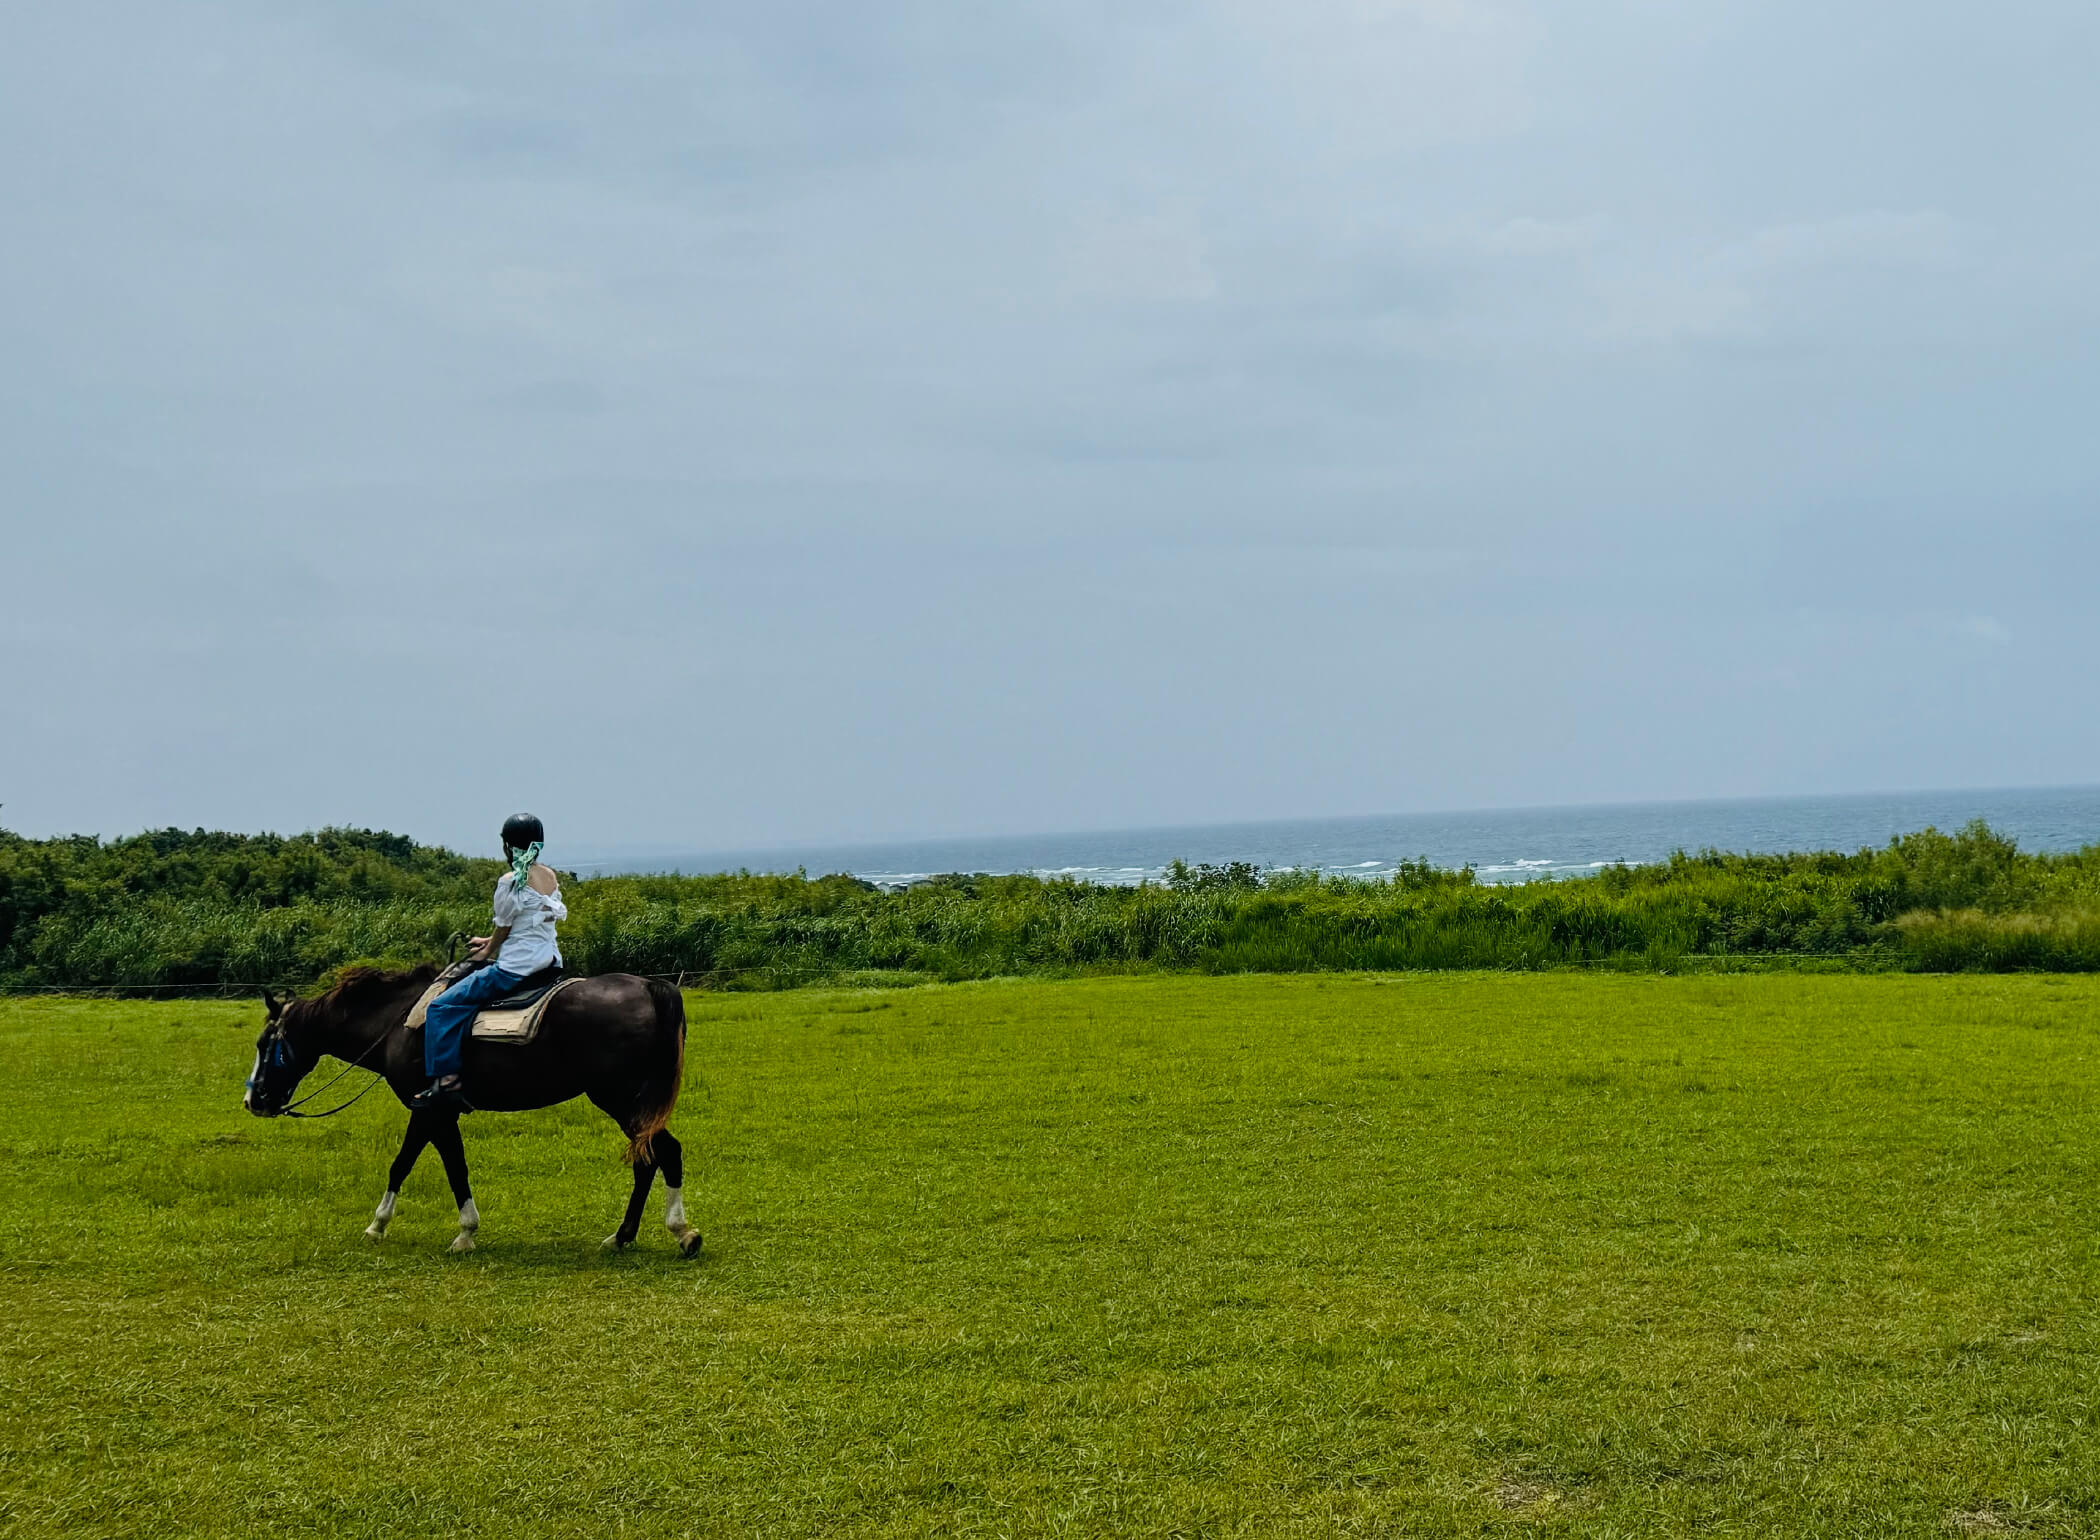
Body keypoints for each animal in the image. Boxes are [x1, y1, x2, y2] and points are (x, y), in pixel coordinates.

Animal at [242, 966, 705, 1252]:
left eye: (266, 1045)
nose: (253, 1100)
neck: (398, 1023)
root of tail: (650, 988)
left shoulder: (432, 1111)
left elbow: (433, 1166)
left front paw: (452, 1232)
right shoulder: (433, 1112)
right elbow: (423, 1164)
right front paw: (392, 1226)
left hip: (620, 1099)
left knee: (664, 1153)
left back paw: (679, 1232)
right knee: (650, 1158)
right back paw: (625, 1236)